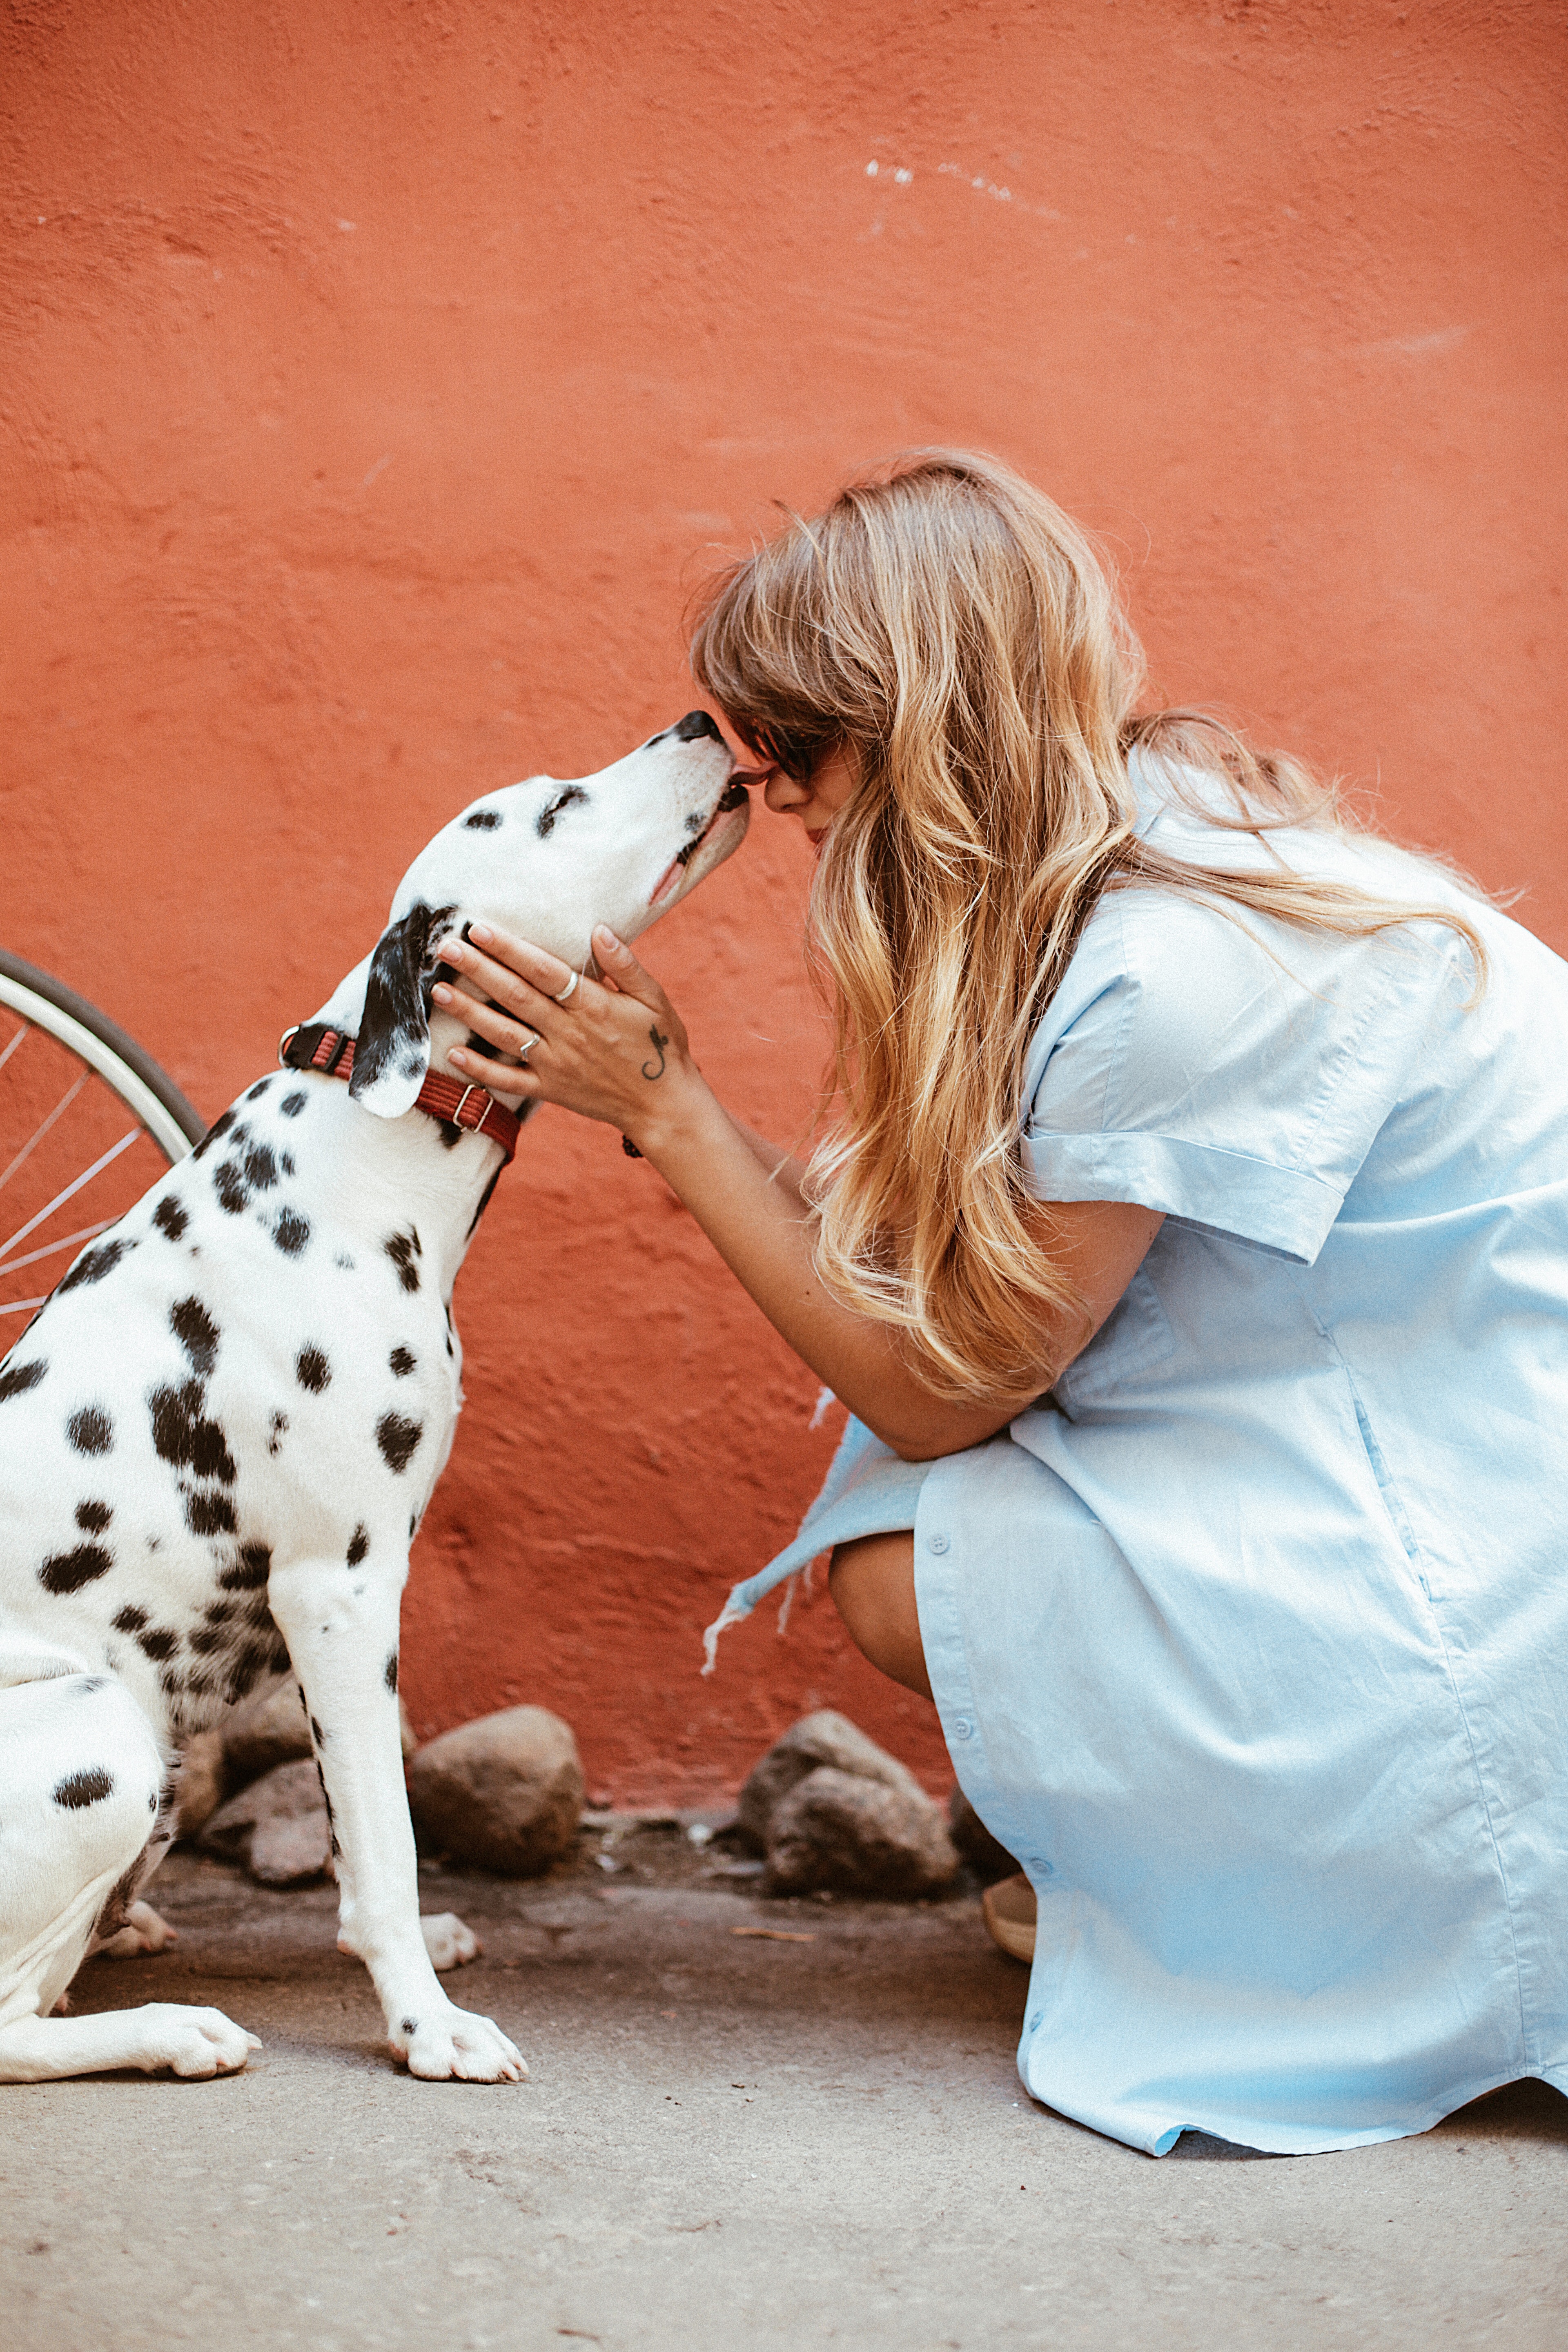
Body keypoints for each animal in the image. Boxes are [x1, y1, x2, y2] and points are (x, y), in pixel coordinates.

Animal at [0, 710, 747, 2079]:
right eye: (555, 806)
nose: (701, 720)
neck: (356, 1152)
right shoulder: (338, 1591)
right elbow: (387, 1839)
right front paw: (426, 2026)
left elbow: (365, 1826)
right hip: (105, 1732)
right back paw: (169, 2028)